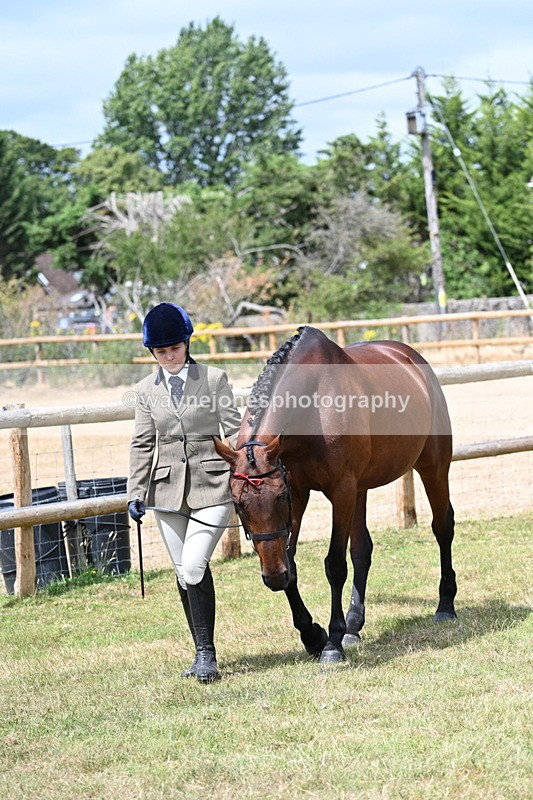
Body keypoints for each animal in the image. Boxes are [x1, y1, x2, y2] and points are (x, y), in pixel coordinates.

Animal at [214, 325, 457, 664]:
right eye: (238, 505)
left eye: (278, 498)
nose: (273, 577)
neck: (312, 406)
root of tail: (411, 357)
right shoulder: (300, 491)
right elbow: (292, 561)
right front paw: (312, 635)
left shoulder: (338, 491)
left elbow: (335, 565)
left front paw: (331, 644)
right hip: (361, 488)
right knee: (362, 550)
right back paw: (354, 626)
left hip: (433, 466)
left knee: (442, 527)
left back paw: (445, 606)